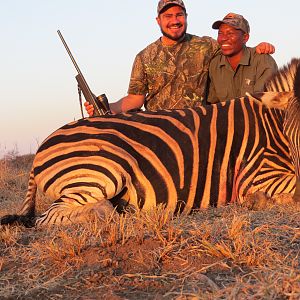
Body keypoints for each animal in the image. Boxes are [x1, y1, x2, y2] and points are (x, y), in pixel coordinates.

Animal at [1, 58, 300, 227]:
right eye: (289, 132)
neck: (271, 123)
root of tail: (41, 148)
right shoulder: (256, 175)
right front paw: (261, 201)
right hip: (103, 171)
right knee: (48, 218)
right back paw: (111, 212)